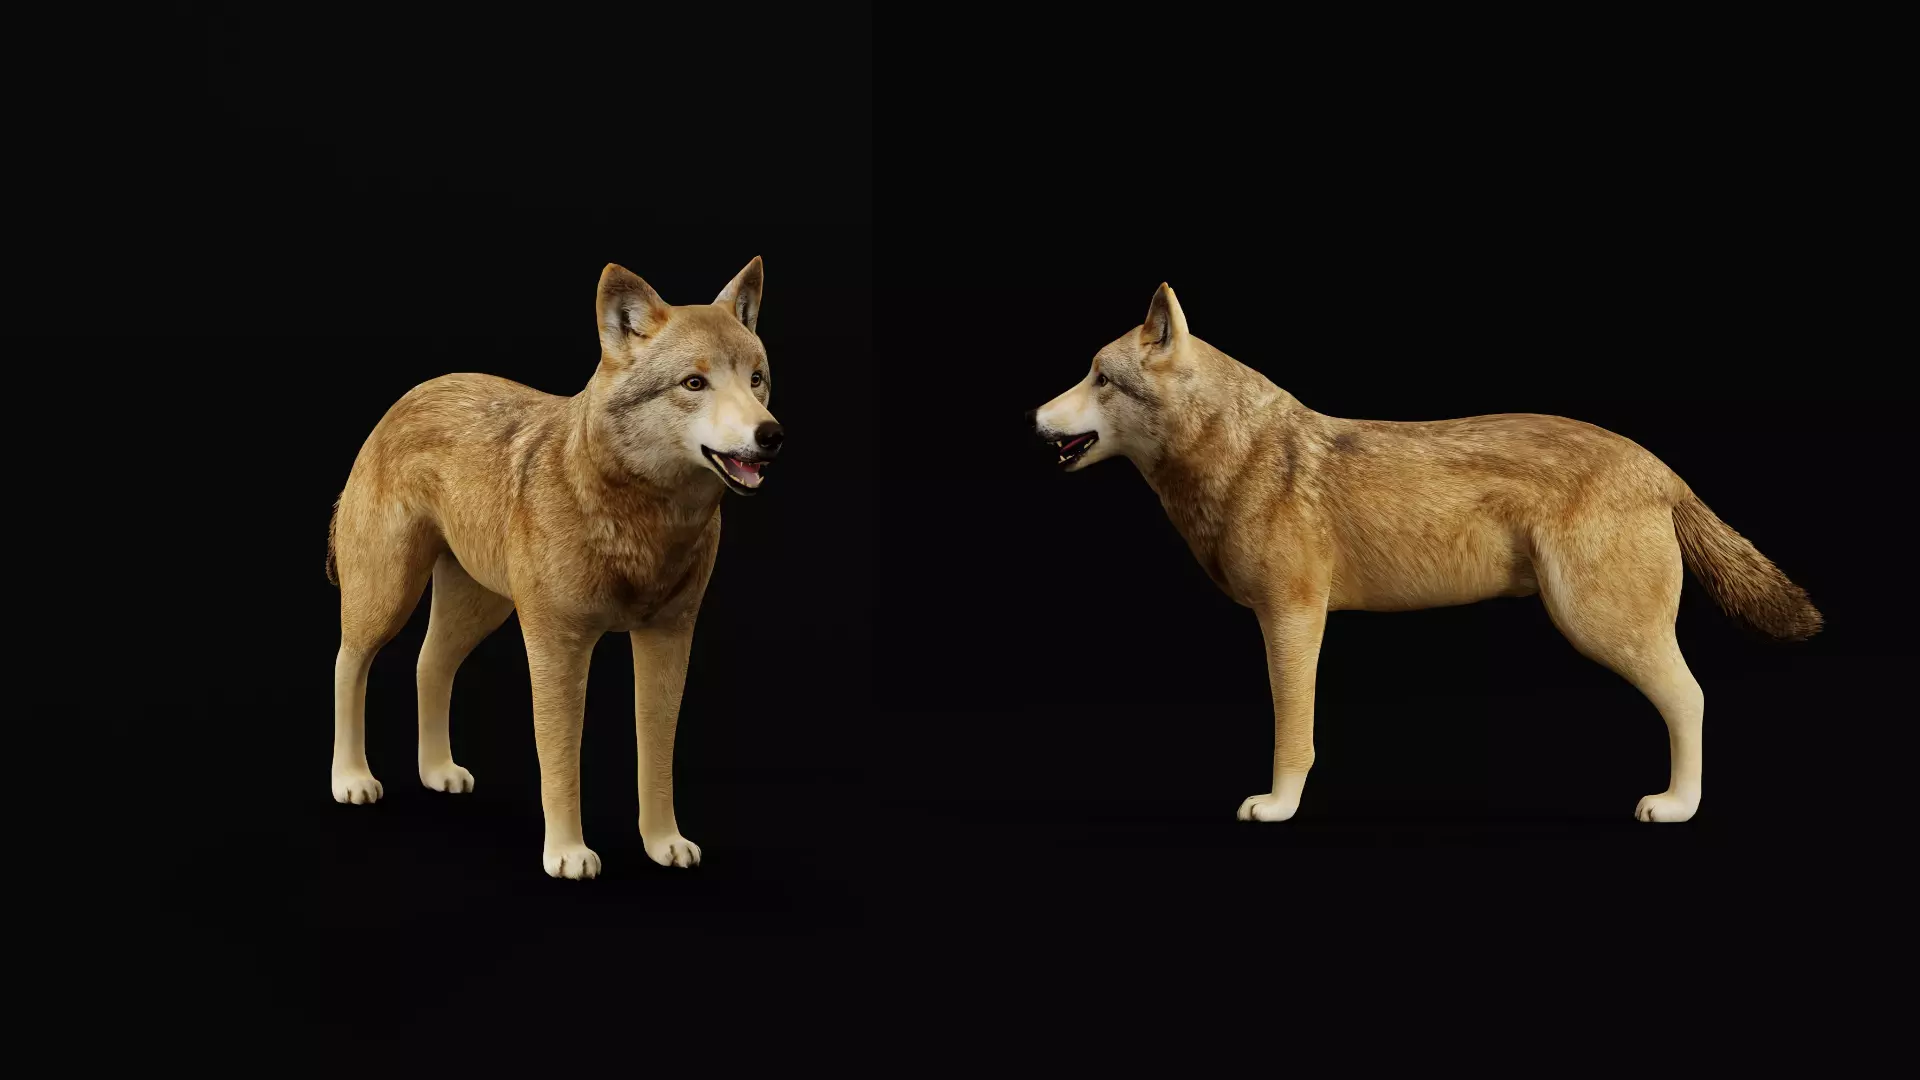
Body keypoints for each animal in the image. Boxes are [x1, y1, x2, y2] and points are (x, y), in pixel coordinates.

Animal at [326, 257, 780, 877]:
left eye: (756, 379)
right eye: (694, 384)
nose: (771, 434)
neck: (643, 520)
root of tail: (412, 393)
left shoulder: (669, 638)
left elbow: (656, 753)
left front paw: (664, 843)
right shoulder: (556, 645)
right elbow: (561, 760)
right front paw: (567, 853)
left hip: (479, 607)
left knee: (428, 664)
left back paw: (438, 771)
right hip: (389, 595)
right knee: (349, 663)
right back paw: (351, 779)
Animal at [1032, 283, 1820, 824]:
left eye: (1101, 378)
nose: (1034, 417)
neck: (1237, 454)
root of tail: (1661, 468)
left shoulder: (1293, 619)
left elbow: (1294, 733)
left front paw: (1278, 807)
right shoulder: (1291, 621)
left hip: (1600, 627)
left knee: (1691, 697)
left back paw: (1677, 805)